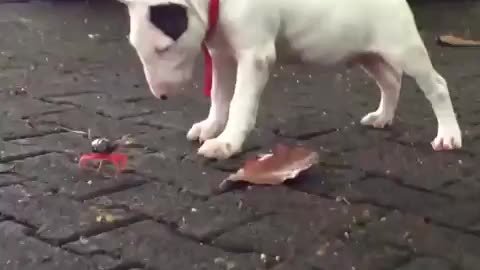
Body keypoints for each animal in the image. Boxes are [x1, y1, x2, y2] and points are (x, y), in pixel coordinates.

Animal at [118, 0, 464, 159]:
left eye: (164, 48)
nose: (161, 96)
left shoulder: (254, 56)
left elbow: (239, 103)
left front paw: (227, 143)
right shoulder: (221, 54)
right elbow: (219, 95)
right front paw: (210, 127)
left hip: (404, 48)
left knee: (437, 86)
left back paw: (448, 135)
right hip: (367, 54)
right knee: (390, 81)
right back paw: (382, 117)